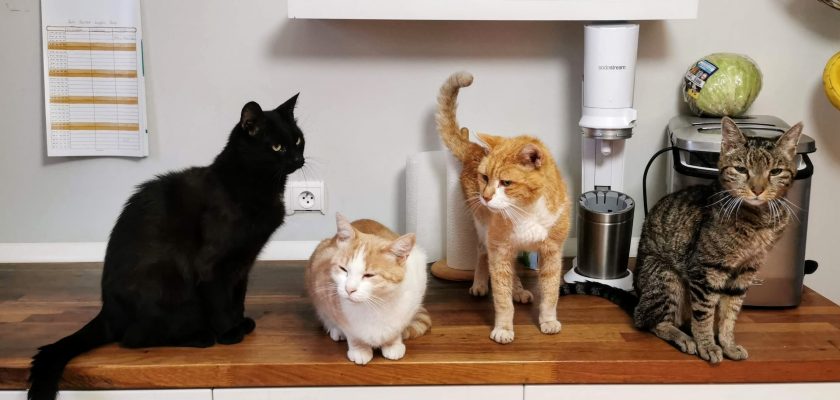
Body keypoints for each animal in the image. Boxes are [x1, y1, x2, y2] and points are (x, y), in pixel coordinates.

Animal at [27, 94, 306, 400]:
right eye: (277, 146)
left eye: (298, 140)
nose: (298, 158)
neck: (257, 186)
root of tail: (108, 310)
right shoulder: (212, 266)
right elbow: (221, 302)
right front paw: (229, 334)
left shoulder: (242, 264)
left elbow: (237, 298)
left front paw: (240, 322)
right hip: (168, 280)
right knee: (133, 338)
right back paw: (201, 336)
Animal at [306, 214, 430, 364]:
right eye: (343, 269)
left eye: (369, 275)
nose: (349, 289)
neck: (375, 305)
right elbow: (351, 331)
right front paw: (359, 348)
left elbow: (397, 328)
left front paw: (393, 343)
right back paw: (335, 330)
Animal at [440, 71, 572, 344]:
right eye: (484, 178)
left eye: (506, 183)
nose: (485, 197)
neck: (527, 211)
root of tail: (474, 148)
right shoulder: (499, 248)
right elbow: (501, 297)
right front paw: (503, 328)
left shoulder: (552, 252)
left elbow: (550, 293)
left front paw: (548, 320)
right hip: (483, 229)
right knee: (482, 253)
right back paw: (480, 284)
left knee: (514, 273)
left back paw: (519, 290)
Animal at [560, 115, 804, 362]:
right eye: (741, 169)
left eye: (775, 171)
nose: (757, 189)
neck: (757, 220)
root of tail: (639, 296)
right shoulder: (705, 271)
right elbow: (704, 315)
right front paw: (708, 345)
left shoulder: (744, 273)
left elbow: (730, 315)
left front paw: (728, 344)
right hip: (666, 277)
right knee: (649, 320)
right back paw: (684, 337)